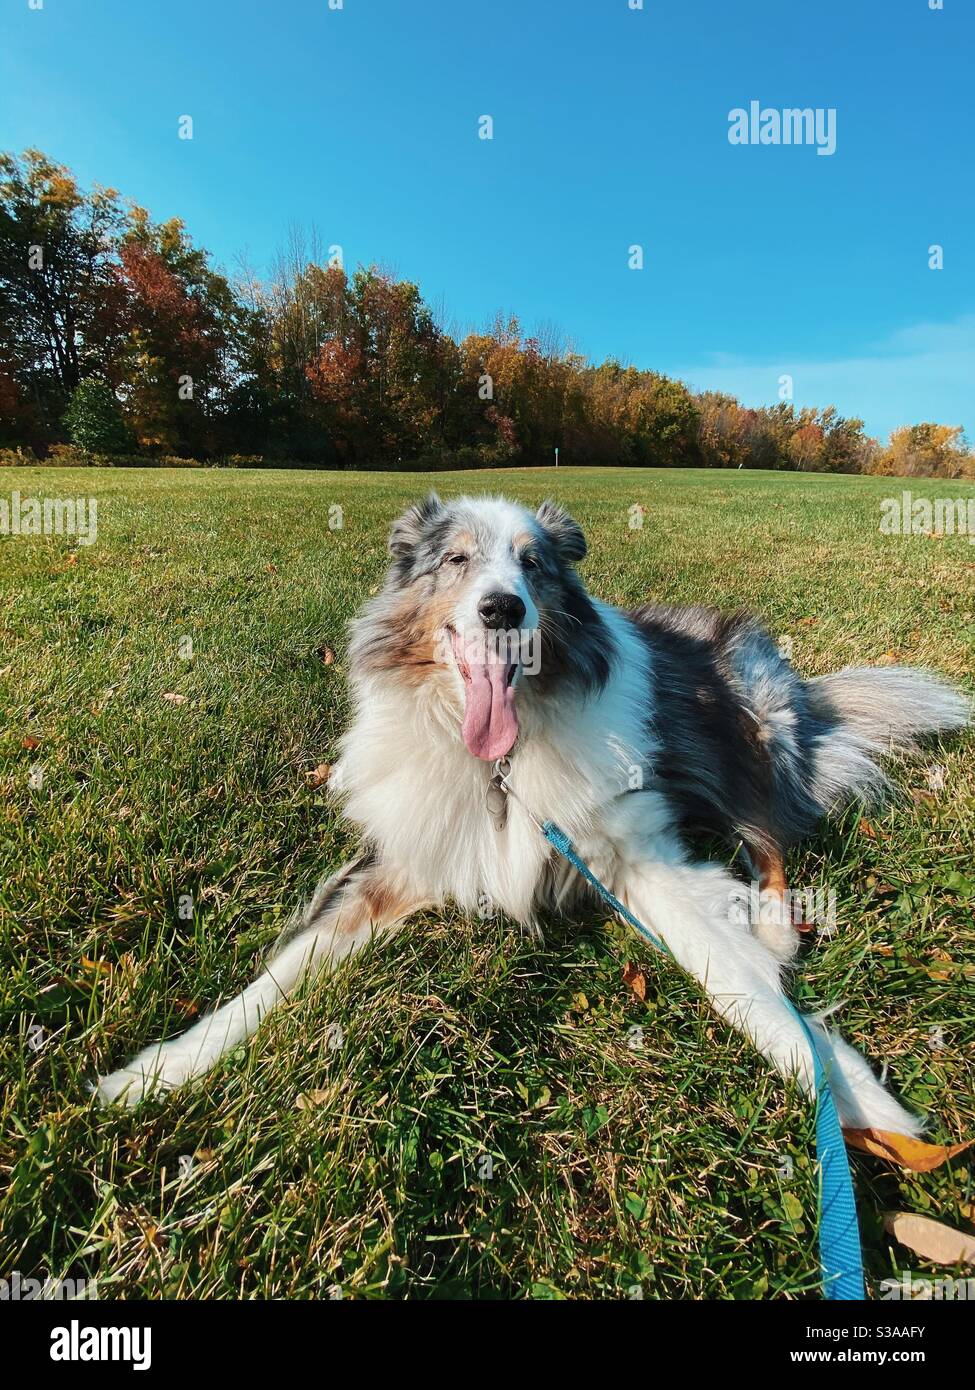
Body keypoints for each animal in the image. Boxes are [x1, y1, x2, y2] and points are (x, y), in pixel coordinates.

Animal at [95, 494, 968, 1134]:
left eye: (533, 564)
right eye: (455, 560)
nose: (501, 609)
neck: (497, 764)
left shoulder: (638, 854)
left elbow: (735, 983)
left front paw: (848, 1094)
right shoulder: (402, 862)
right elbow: (277, 977)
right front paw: (154, 1072)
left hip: (750, 722)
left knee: (771, 831)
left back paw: (777, 927)